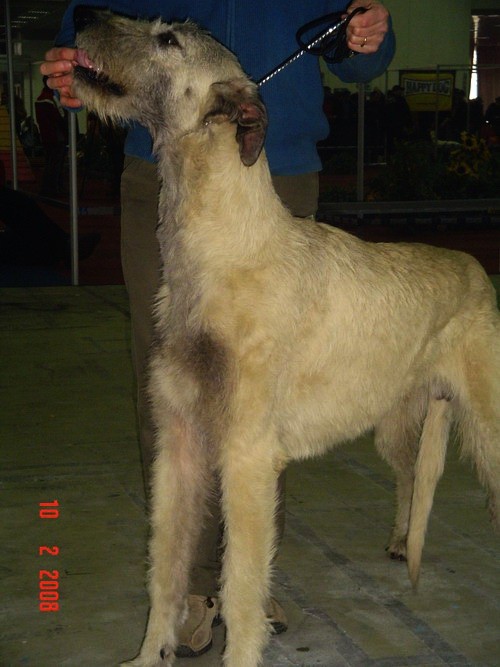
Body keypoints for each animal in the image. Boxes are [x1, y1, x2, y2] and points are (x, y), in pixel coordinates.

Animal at [71, 6, 500, 667]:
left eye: (168, 39)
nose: (83, 14)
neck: (225, 247)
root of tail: (477, 267)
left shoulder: (247, 460)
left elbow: (242, 588)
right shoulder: (179, 450)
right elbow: (164, 571)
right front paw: (149, 654)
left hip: (487, 426)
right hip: (399, 418)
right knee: (408, 475)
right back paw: (402, 539)